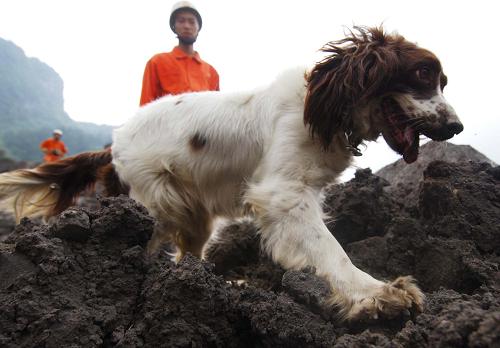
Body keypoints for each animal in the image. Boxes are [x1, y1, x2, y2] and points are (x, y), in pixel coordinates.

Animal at [0, 27, 462, 320]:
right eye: (422, 74)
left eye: (443, 81)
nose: (456, 126)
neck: (320, 106)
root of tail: (114, 144)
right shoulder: (283, 195)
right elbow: (332, 251)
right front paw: (377, 293)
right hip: (150, 204)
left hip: (193, 217)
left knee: (188, 253)